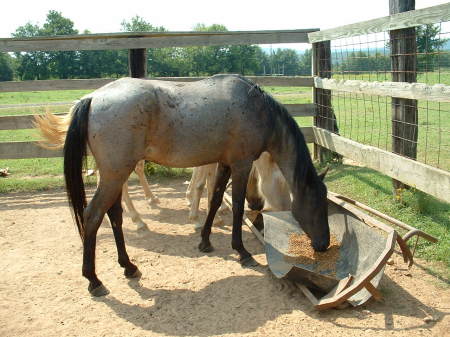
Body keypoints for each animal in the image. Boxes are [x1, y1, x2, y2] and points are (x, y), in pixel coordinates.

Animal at [63, 75, 328, 296]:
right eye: (316, 206)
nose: (323, 244)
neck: (258, 109)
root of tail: (92, 98)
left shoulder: (224, 163)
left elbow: (216, 199)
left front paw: (205, 241)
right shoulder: (241, 165)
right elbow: (237, 207)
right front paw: (241, 251)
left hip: (115, 176)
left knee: (115, 215)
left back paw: (128, 266)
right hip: (115, 174)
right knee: (93, 215)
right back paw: (94, 280)